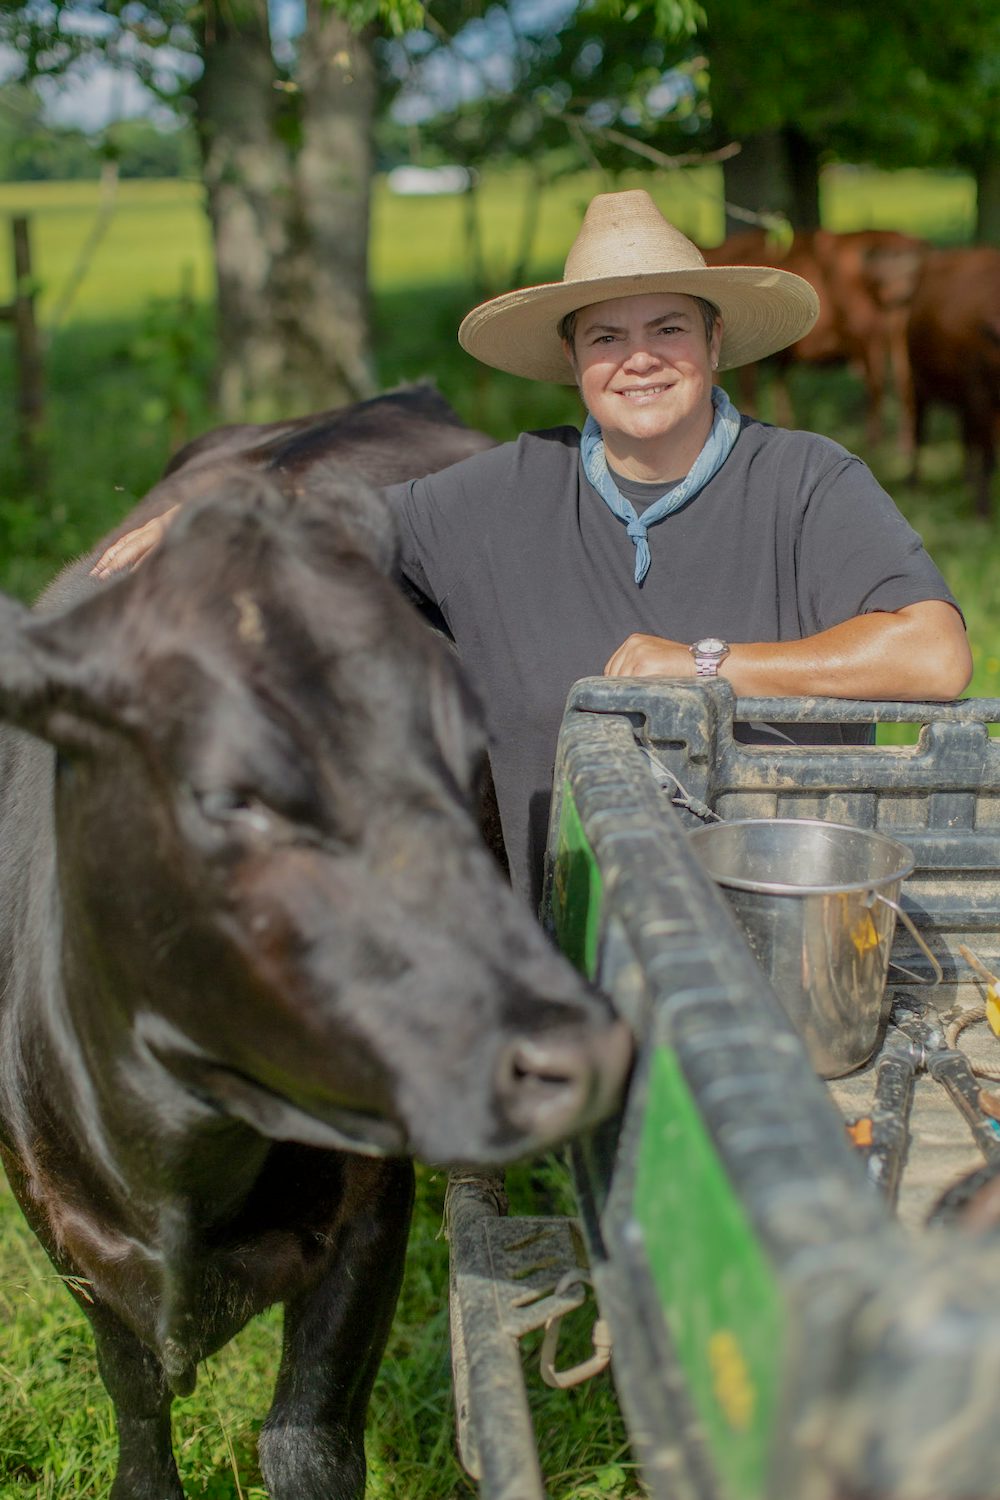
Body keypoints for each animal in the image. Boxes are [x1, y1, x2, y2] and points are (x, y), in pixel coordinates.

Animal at [0, 390, 629, 1500]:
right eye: (229, 793)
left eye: (458, 749)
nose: (576, 1051)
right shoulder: (59, 1225)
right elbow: (132, 1392)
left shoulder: (368, 1214)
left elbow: (308, 1438)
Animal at [905, 247, 1000, 522]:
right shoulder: (980, 393)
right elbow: (988, 455)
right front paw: (982, 511)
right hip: (919, 383)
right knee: (919, 431)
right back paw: (914, 483)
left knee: (966, 437)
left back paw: (966, 481)